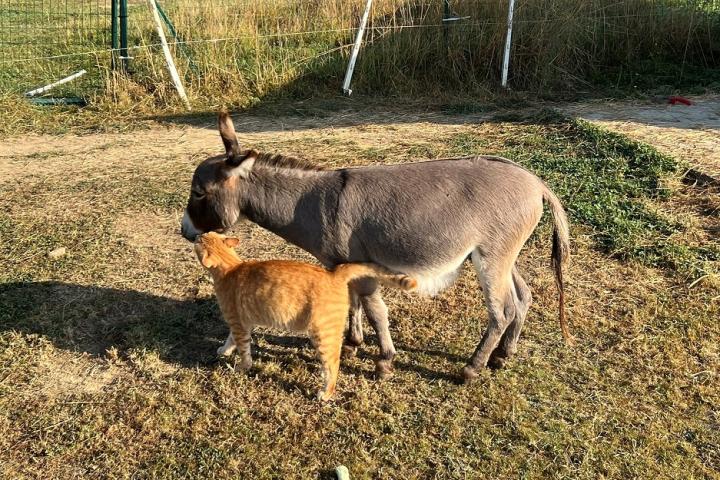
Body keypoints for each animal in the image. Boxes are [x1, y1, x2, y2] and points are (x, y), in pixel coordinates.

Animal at [194, 232, 416, 402]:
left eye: (200, 239)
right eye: (207, 234)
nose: (196, 235)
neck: (231, 267)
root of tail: (334, 273)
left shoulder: (238, 323)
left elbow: (243, 350)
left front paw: (240, 366)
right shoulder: (242, 324)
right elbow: (230, 339)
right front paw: (224, 350)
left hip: (322, 334)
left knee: (333, 364)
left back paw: (325, 394)